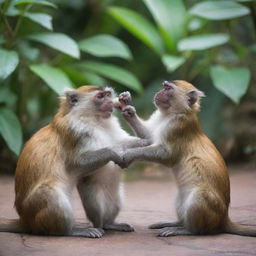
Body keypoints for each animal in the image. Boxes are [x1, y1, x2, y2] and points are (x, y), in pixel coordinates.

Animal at [0, 85, 150, 238]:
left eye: (108, 94)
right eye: (100, 96)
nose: (110, 102)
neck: (94, 120)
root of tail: (25, 220)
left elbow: (145, 141)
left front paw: (129, 111)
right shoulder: (74, 133)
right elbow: (77, 164)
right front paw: (115, 152)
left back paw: (108, 224)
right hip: (36, 210)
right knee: (50, 193)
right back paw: (73, 230)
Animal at [117, 81, 256, 237]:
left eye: (168, 88)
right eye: (164, 86)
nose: (158, 92)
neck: (172, 113)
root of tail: (224, 218)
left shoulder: (177, 127)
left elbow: (166, 155)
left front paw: (129, 154)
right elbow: (149, 137)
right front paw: (128, 110)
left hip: (210, 210)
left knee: (200, 198)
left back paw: (186, 230)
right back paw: (176, 223)